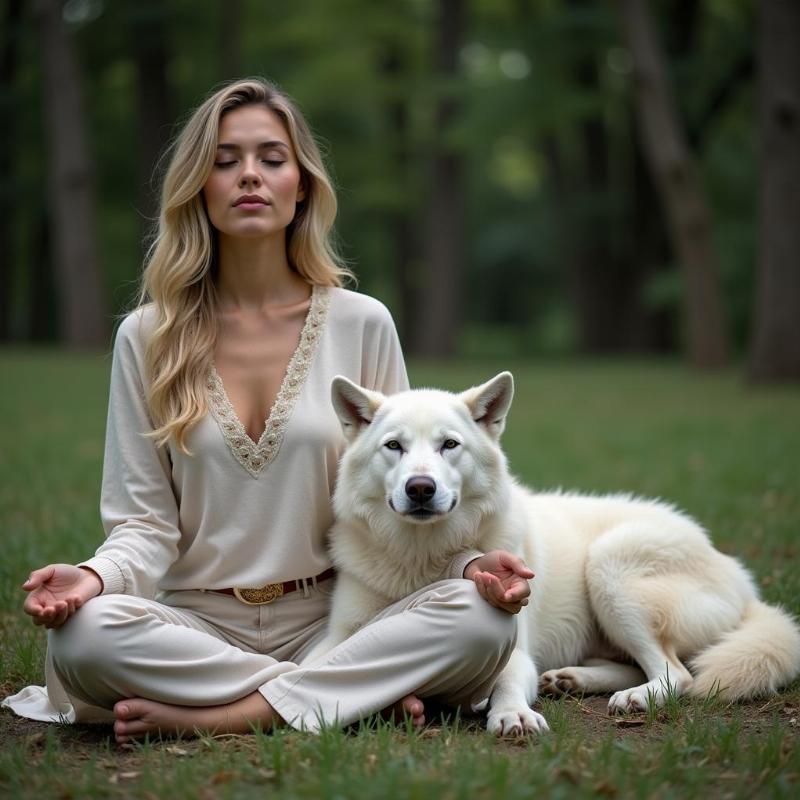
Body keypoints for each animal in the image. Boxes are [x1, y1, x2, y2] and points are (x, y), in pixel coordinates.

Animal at [302, 372, 800, 736]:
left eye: (449, 445)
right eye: (394, 446)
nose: (420, 488)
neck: (421, 559)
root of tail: (739, 576)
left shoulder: (515, 647)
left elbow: (507, 681)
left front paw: (512, 715)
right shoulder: (340, 635)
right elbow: (311, 666)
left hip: (609, 566)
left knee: (678, 673)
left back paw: (634, 697)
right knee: (635, 666)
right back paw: (569, 679)